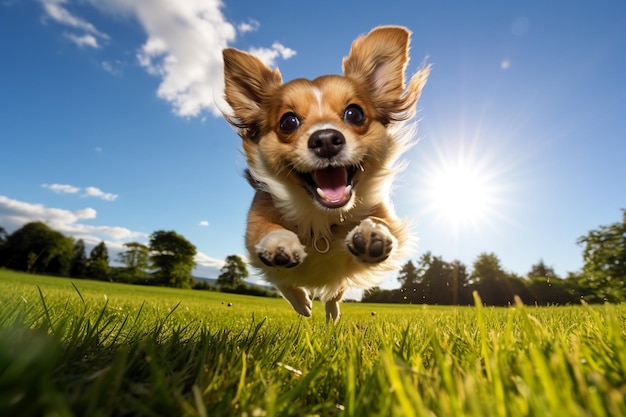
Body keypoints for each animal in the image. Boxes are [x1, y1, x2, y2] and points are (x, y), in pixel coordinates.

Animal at [221, 26, 428, 320]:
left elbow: (382, 224)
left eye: (354, 114)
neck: (321, 217)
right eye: (288, 122)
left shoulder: (385, 218)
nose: (326, 139)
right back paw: (303, 304)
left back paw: (331, 315)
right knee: (286, 284)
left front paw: (372, 233)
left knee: (333, 295)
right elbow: (265, 231)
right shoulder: (255, 229)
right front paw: (279, 243)